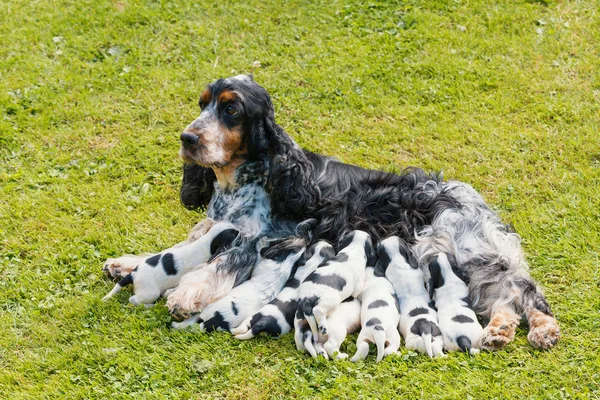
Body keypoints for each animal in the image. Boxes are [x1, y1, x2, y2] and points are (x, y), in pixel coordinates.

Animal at [102, 222, 239, 306]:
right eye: (233, 233)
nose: (239, 229)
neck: (205, 242)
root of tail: (133, 274)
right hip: (150, 293)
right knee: (133, 300)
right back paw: (150, 306)